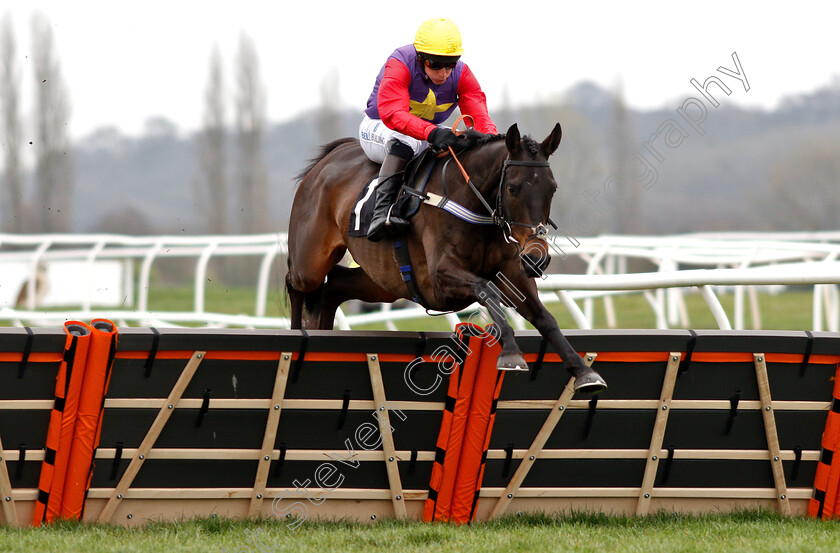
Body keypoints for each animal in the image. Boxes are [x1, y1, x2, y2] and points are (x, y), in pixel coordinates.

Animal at [286, 122, 608, 390]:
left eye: (552, 188)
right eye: (513, 188)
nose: (536, 259)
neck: (470, 202)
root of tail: (331, 157)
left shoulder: (512, 273)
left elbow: (545, 317)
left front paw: (583, 371)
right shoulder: (439, 278)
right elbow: (486, 289)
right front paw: (511, 352)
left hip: (385, 282)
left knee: (334, 287)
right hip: (310, 261)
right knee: (296, 282)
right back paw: (296, 334)